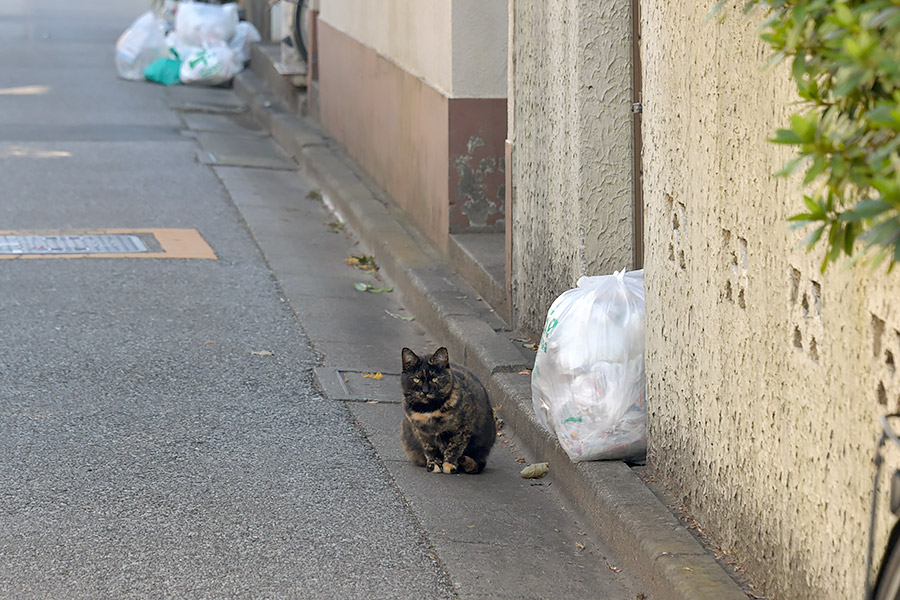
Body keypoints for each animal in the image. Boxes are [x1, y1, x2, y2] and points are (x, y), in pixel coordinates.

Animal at [402, 346, 500, 474]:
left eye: (435, 379)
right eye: (416, 379)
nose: (425, 391)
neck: (430, 410)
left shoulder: (462, 429)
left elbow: (454, 447)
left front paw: (449, 465)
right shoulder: (421, 433)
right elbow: (430, 449)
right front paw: (434, 464)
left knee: (479, 463)